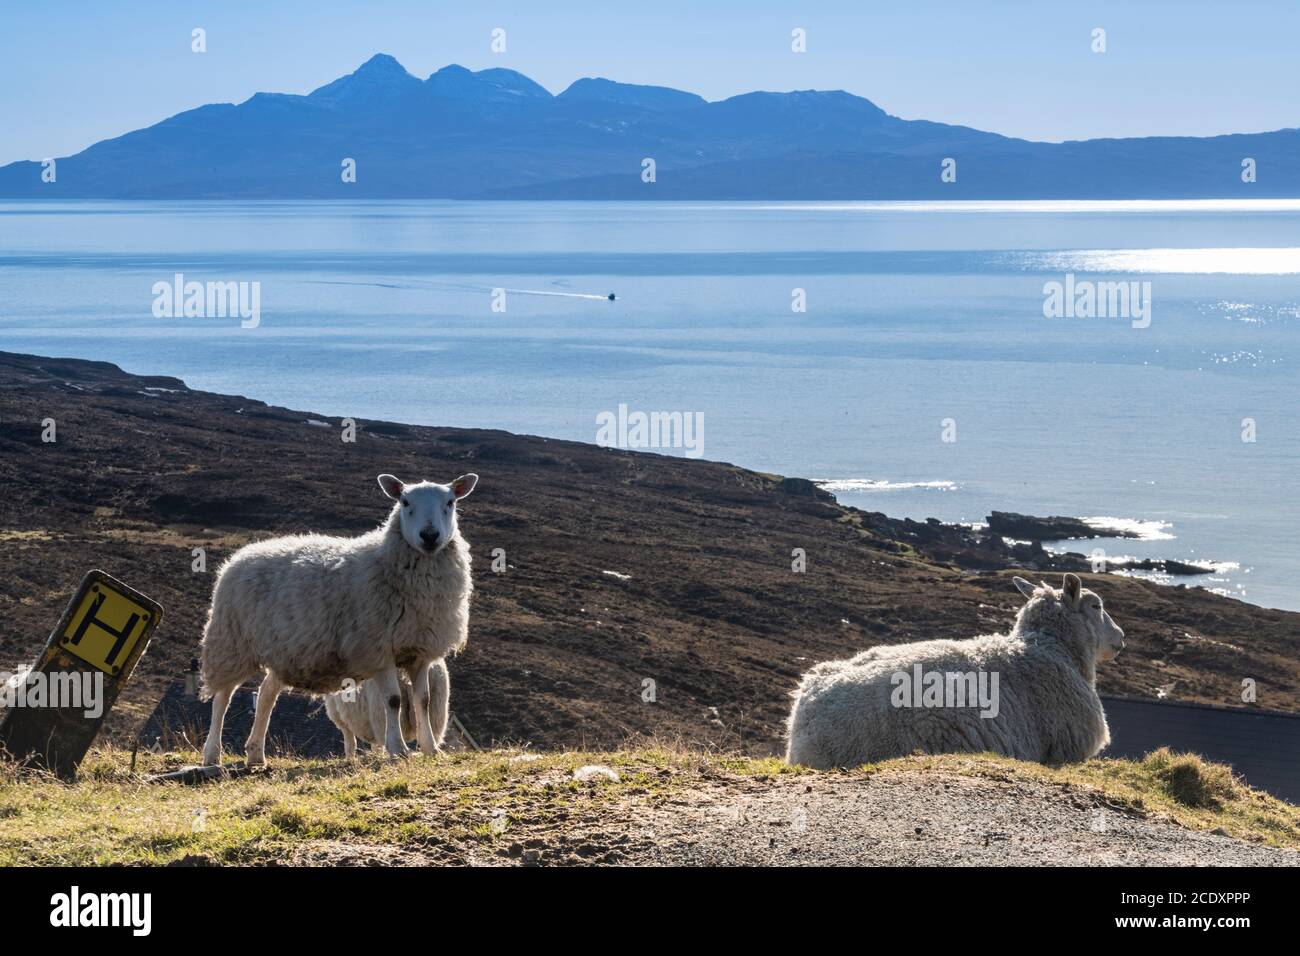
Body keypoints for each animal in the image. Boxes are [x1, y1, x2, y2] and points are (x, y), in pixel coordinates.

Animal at [199, 472, 477, 767]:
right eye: (404, 502)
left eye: (450, 502)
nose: (430, 535)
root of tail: (243, 554)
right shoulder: (378, 649)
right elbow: (393, 700)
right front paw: (398, 748)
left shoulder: (420, 651)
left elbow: (422, 700)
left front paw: (431, 749)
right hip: (232, 642)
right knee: (222, 697)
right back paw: (212, 754)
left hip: (284, 653)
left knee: (265, 694)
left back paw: (255, 754)